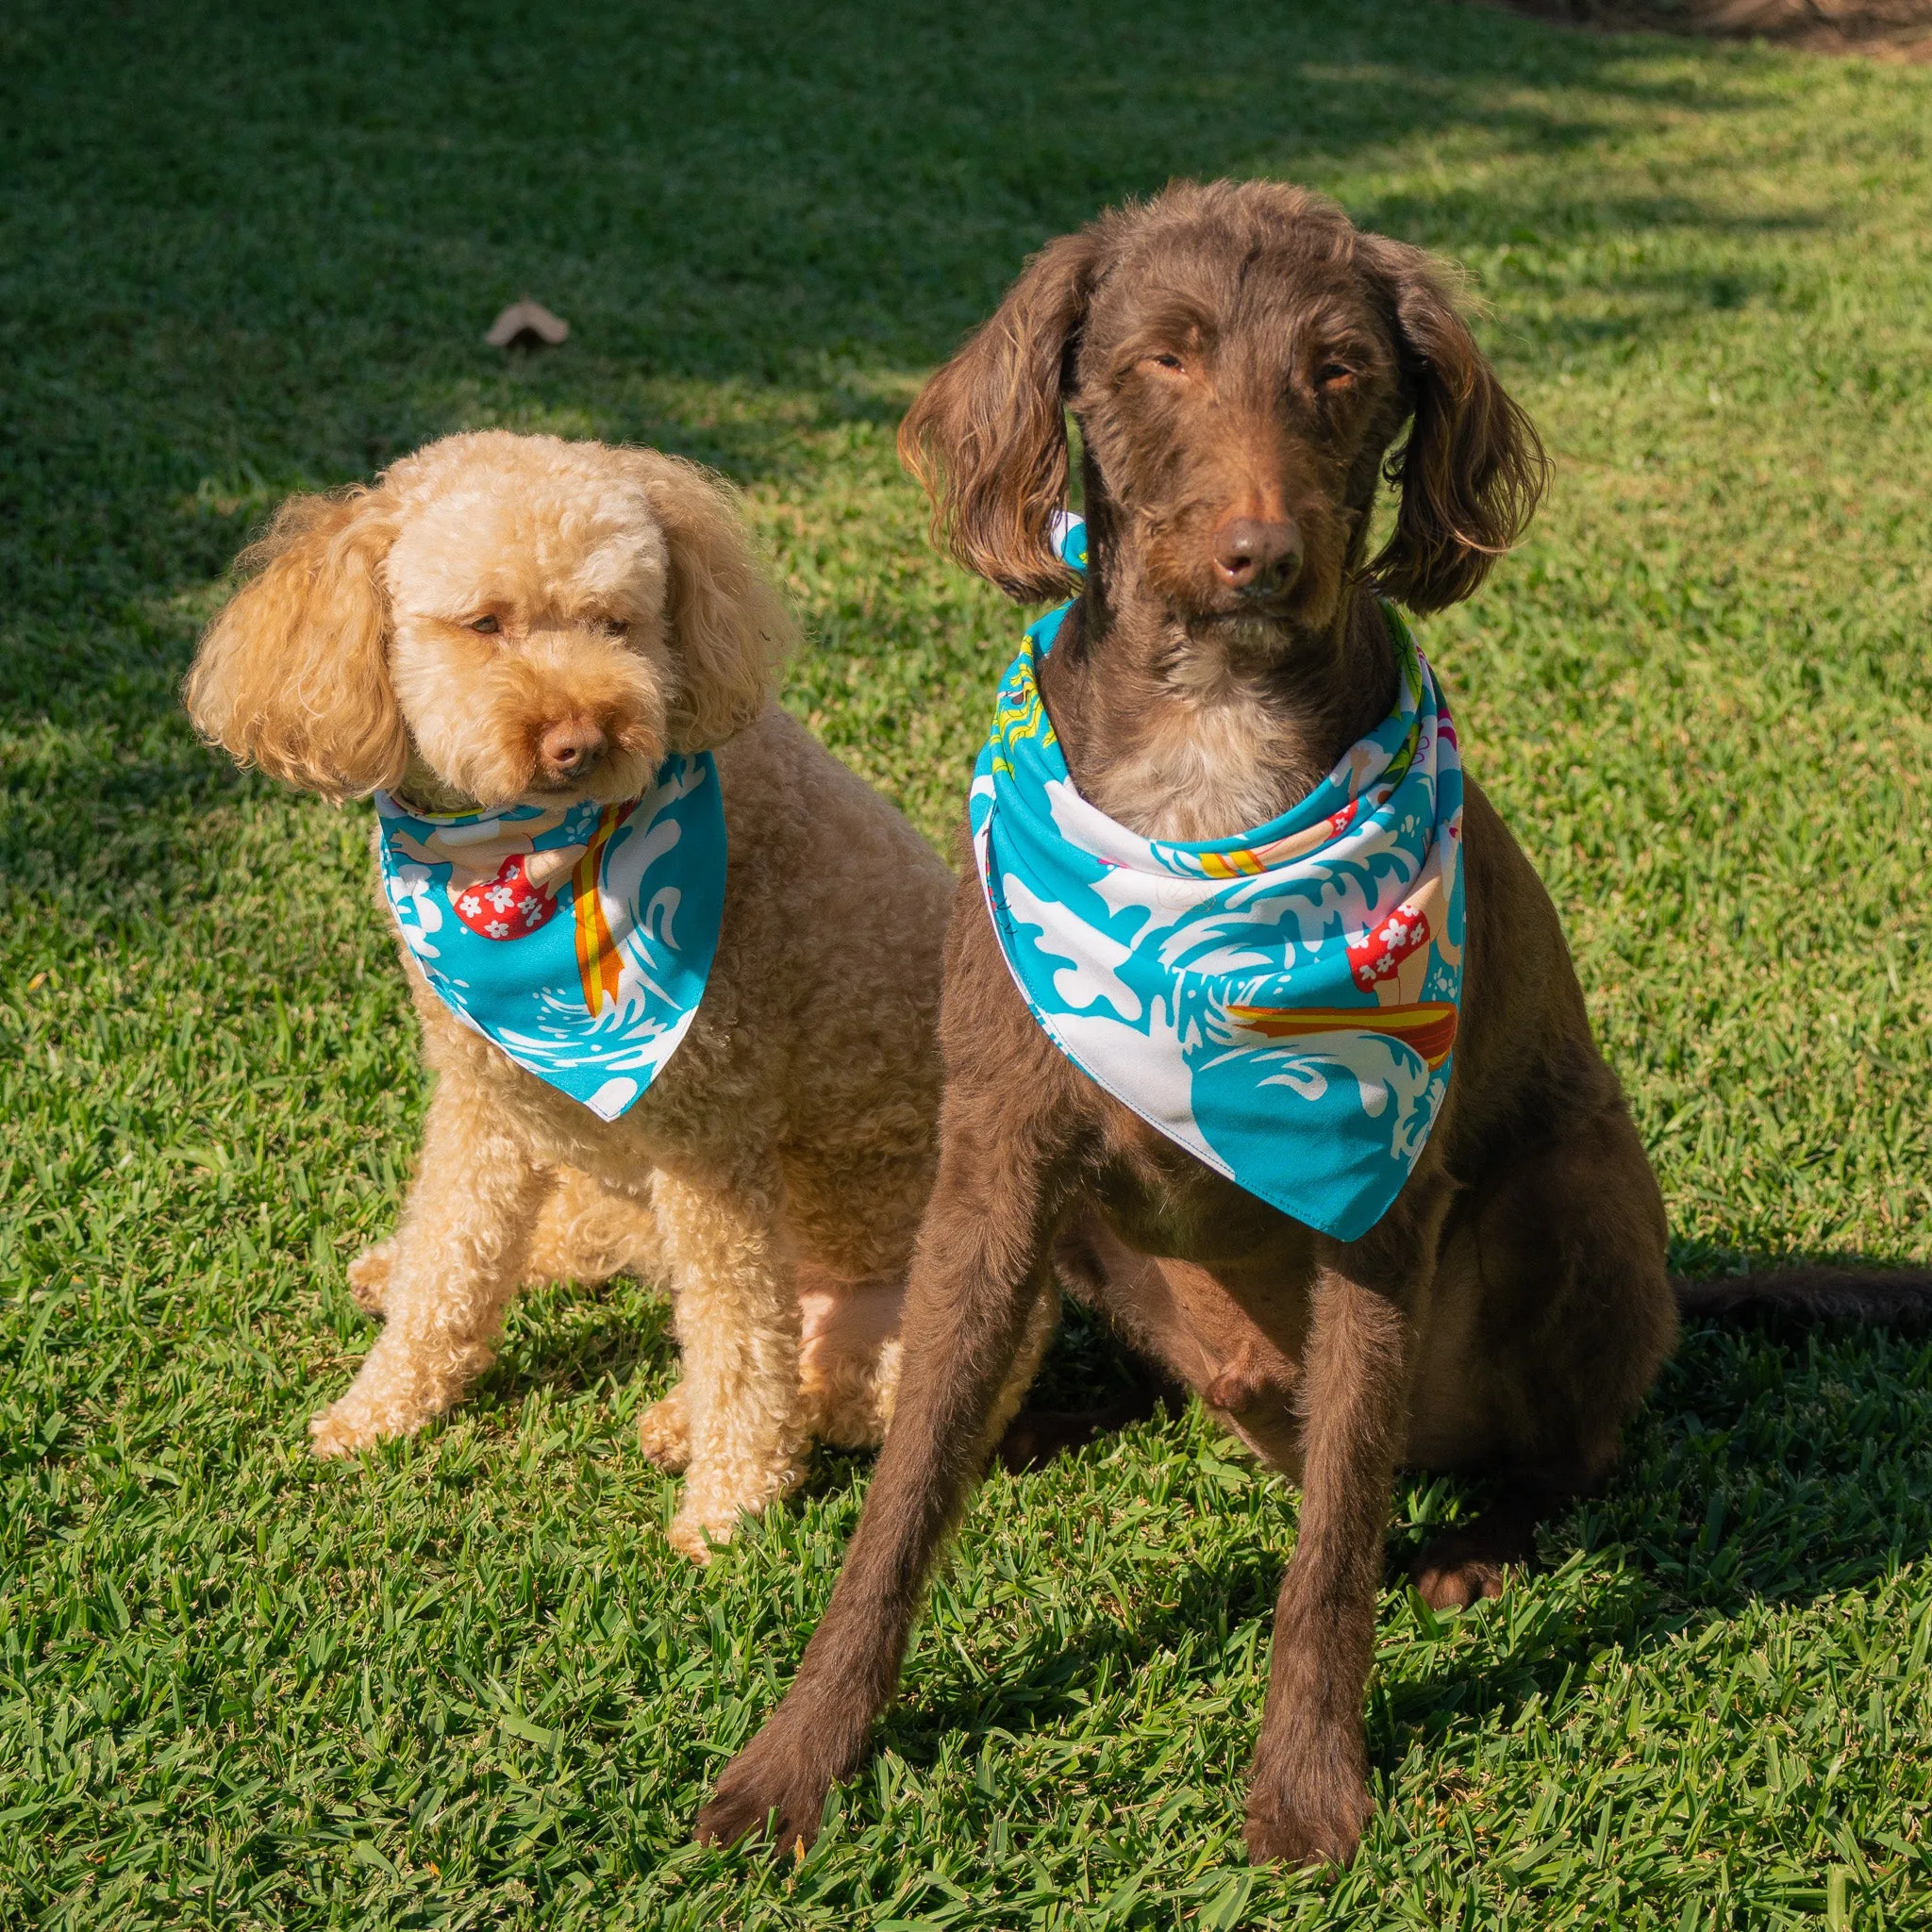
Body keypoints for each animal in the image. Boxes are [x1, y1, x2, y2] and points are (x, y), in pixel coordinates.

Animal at [184, 434, 1058, 1553]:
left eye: (618, 621)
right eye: (485, 623)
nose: (580, 739)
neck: (514, 865)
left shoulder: (711, 1141)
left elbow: (736, 1335)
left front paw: (731, 1504)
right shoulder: (482, 1092)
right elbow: (450, 1260)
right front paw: (379, 1407)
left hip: (901, 1328)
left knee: (811, 1377)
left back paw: (686, 1424)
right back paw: (403, 1268)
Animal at [699, 188, 1932, 1862]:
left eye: (1342, 370)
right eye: (1161, 359)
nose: (1260, 556)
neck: (1210, 762)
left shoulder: (1374, 1213)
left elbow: (1339, 1542)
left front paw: (1307, 1783)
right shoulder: (997, 1165)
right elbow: (901, 1509)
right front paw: (803, 1754)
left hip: (1577, 1201)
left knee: (1571, 1448)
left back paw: (1488, 1534)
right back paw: (1044, 1415)